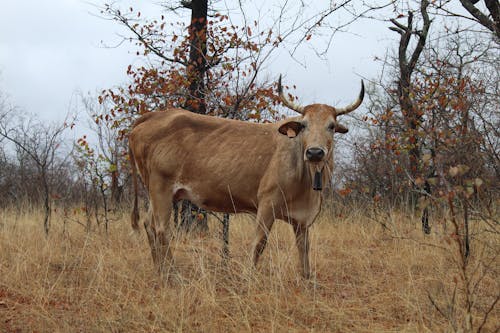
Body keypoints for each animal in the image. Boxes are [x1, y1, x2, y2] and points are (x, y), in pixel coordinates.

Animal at [129, 76, 364, 278]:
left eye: (331, 126)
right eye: (304, 125)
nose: (315, 152)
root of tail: (155, 115)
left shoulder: (302, 219)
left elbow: (304, 249)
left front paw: (307, 279)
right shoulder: (267, 203)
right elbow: (259, 243)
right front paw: (250, 277)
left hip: (159, 192)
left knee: (148, 224)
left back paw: (160, 271)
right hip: (160, 188)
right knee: (161, 229)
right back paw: (171, 274)